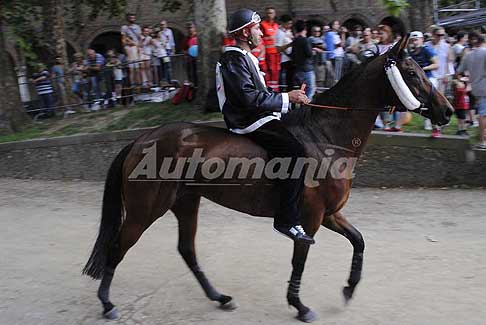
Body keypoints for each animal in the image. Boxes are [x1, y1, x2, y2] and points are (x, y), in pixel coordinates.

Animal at [82, 36, 452, 322]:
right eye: (411, 72)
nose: (447, 111)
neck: (326, 137)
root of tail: (142, 138)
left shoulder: (330, 214)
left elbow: (359, 241)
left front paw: (348, 288)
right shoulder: (308, 219)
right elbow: (299, 260)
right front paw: (300, 306)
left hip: (186, 203)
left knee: (187, 250)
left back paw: (219, 297)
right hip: (146, 209)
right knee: (118, 247)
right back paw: (107, 303)